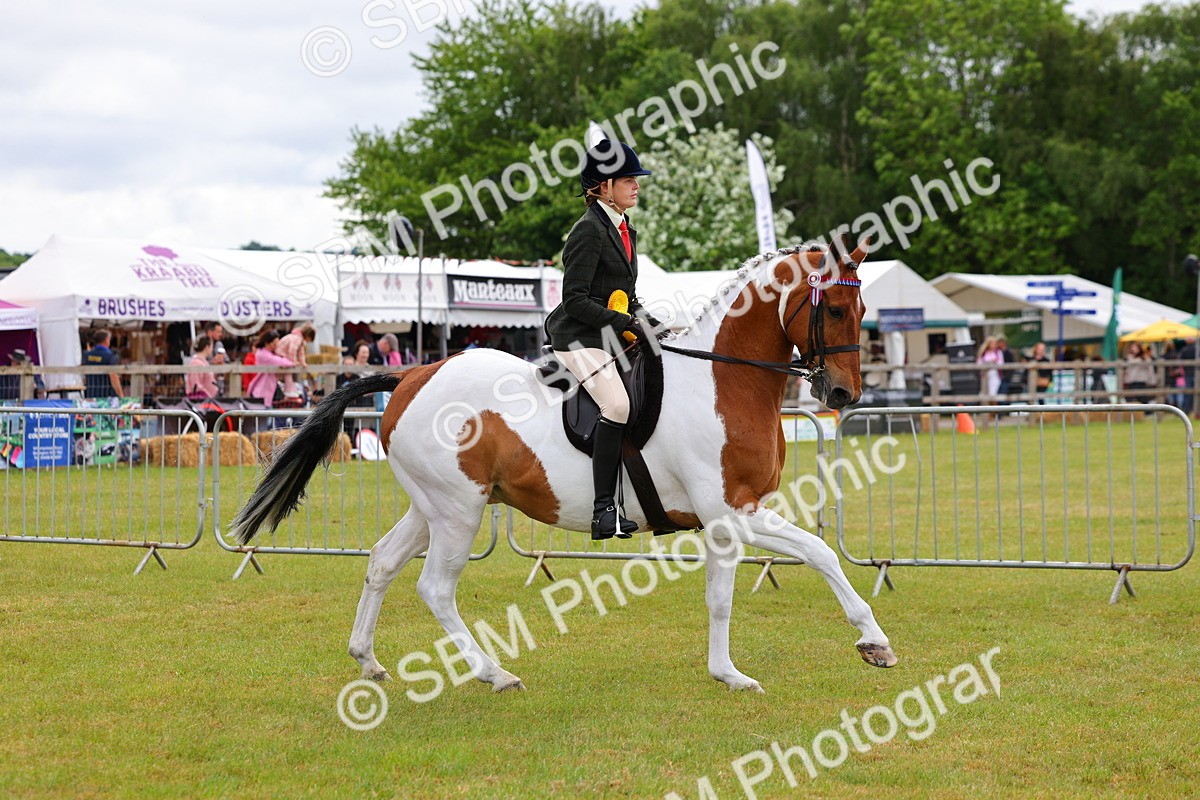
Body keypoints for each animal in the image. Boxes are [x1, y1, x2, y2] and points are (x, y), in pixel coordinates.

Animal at [229, 237, 897, 693]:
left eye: (863, 307)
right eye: (835, 309)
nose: (844, 395)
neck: (723, 378)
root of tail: (411, 377)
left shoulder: (727, 519)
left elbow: (739, 588)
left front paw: (730, 672)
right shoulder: (733, 512)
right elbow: (812, 555)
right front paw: (867, 642)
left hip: (432, 506)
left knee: (383, 562)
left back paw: (368, 660)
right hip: (458, 512)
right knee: (435, 587)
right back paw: (494, 674)